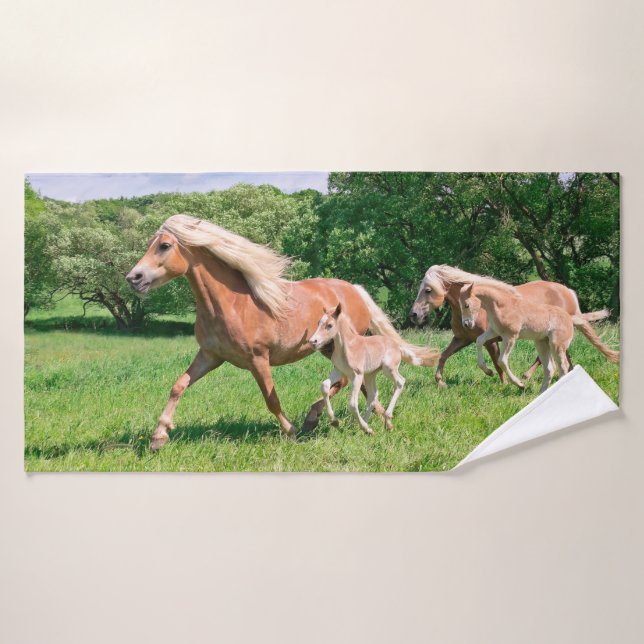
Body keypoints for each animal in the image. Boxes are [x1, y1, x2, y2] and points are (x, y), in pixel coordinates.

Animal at [309, 302, 415, 434]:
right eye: (318, 322)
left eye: (329, 325)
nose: (312, 341)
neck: (347, 347)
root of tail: (397, 345)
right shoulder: (339, 371)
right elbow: (324, 386)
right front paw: (334, 421)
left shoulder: (357, 375)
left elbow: (352, 404)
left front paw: (365, 428)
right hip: (370, 374)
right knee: (373, 395)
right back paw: (369, 424)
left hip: (388, 368)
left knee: (400, 381)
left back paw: (385, 421)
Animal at [409, 264, 611, 387]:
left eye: (428, 290)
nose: (414, 314)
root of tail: (567, 291)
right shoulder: (462, 339)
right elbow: (443, 355)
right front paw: (440, 381)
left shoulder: (492, 340)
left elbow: (498, 363)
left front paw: (501, 380)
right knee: (562, 357)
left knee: (547, 358)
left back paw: (526, 377)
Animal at [459, 282, 620, 394]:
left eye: (466, 305)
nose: (466, 324)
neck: (502, 306)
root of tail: (570, 318)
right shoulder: (493, 331)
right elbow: (479, 341)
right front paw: (488, 371)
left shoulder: (510, 336)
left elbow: (502, 360)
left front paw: (520, 384)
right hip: (542, 344)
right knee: (550, 368)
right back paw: (542, 393)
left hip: (556, 345)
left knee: (562, 366)